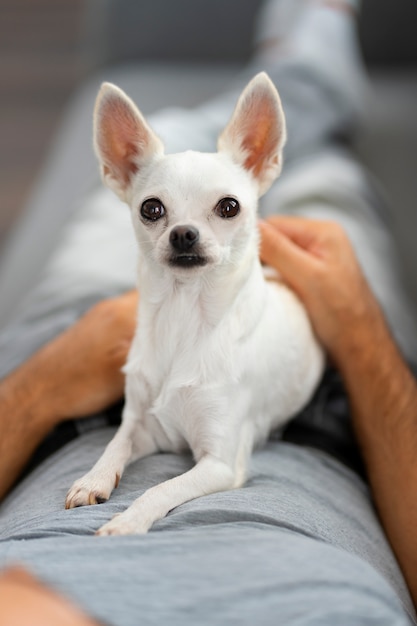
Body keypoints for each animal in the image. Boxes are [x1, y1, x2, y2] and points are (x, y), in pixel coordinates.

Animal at [66, 72, 324, 532]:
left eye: (229, 207)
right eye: (151, 209)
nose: (184, 233)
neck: (183, 316)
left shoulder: (220, 463)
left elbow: (160, 488)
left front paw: (126, 523)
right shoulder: (142, 425)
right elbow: (114, 445)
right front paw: (93, 479)